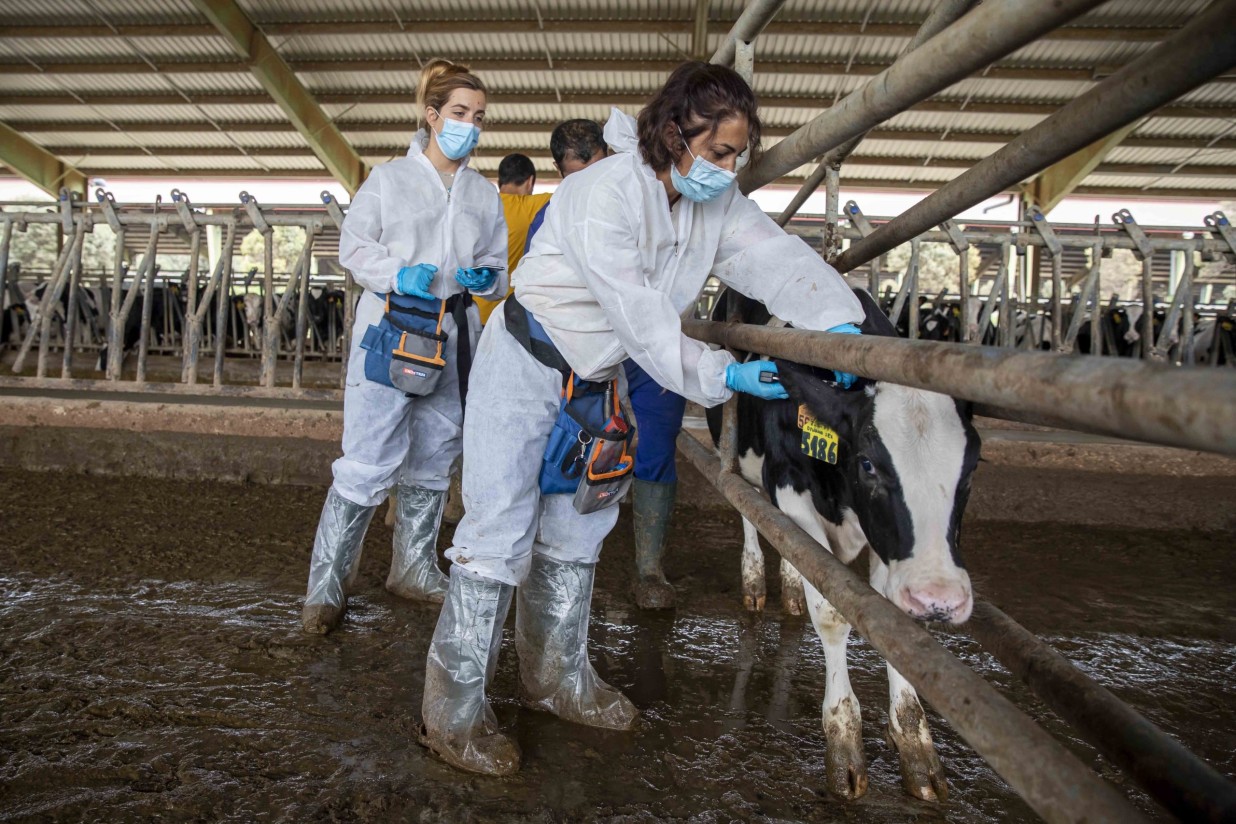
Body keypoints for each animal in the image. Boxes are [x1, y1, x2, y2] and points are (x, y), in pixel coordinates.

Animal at [711, 289, 978, 800]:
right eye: (869, 464)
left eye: (971, 469)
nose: (939, 598)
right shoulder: (787, 483)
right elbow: (833, 612)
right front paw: (844, 743)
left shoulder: (889, 544)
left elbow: (892, 625)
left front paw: (917, 749)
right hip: (735, 456)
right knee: (750, 514)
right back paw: (755, 583)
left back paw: (791, 588)